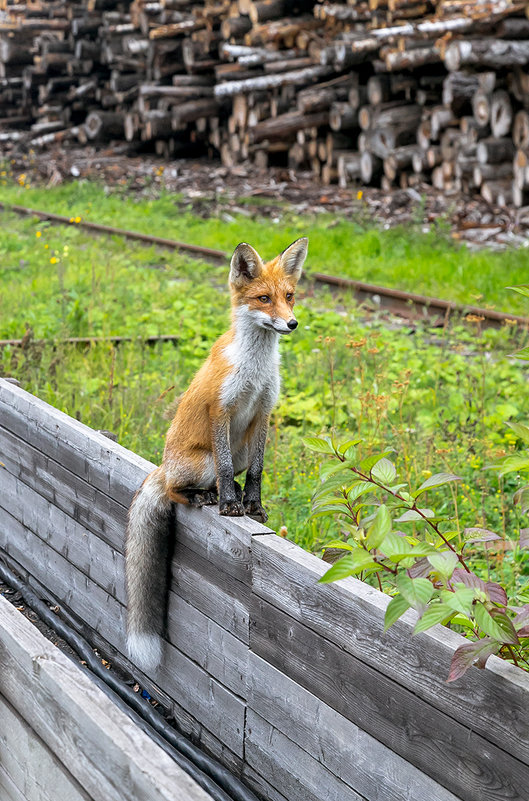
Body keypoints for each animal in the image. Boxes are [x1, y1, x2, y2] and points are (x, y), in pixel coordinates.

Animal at [125, 236, 306, 668]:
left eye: (289, 297)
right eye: (263, 299)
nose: (292, 323)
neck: (255, 369)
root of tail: (162, 466)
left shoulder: (263, 412)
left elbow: (257, 471)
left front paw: (252, 506)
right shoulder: (219, 411)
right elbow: (225, 469)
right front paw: (228, 506)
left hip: (239, 447)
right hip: (198, 462)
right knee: (176, 491)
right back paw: (202, 497)